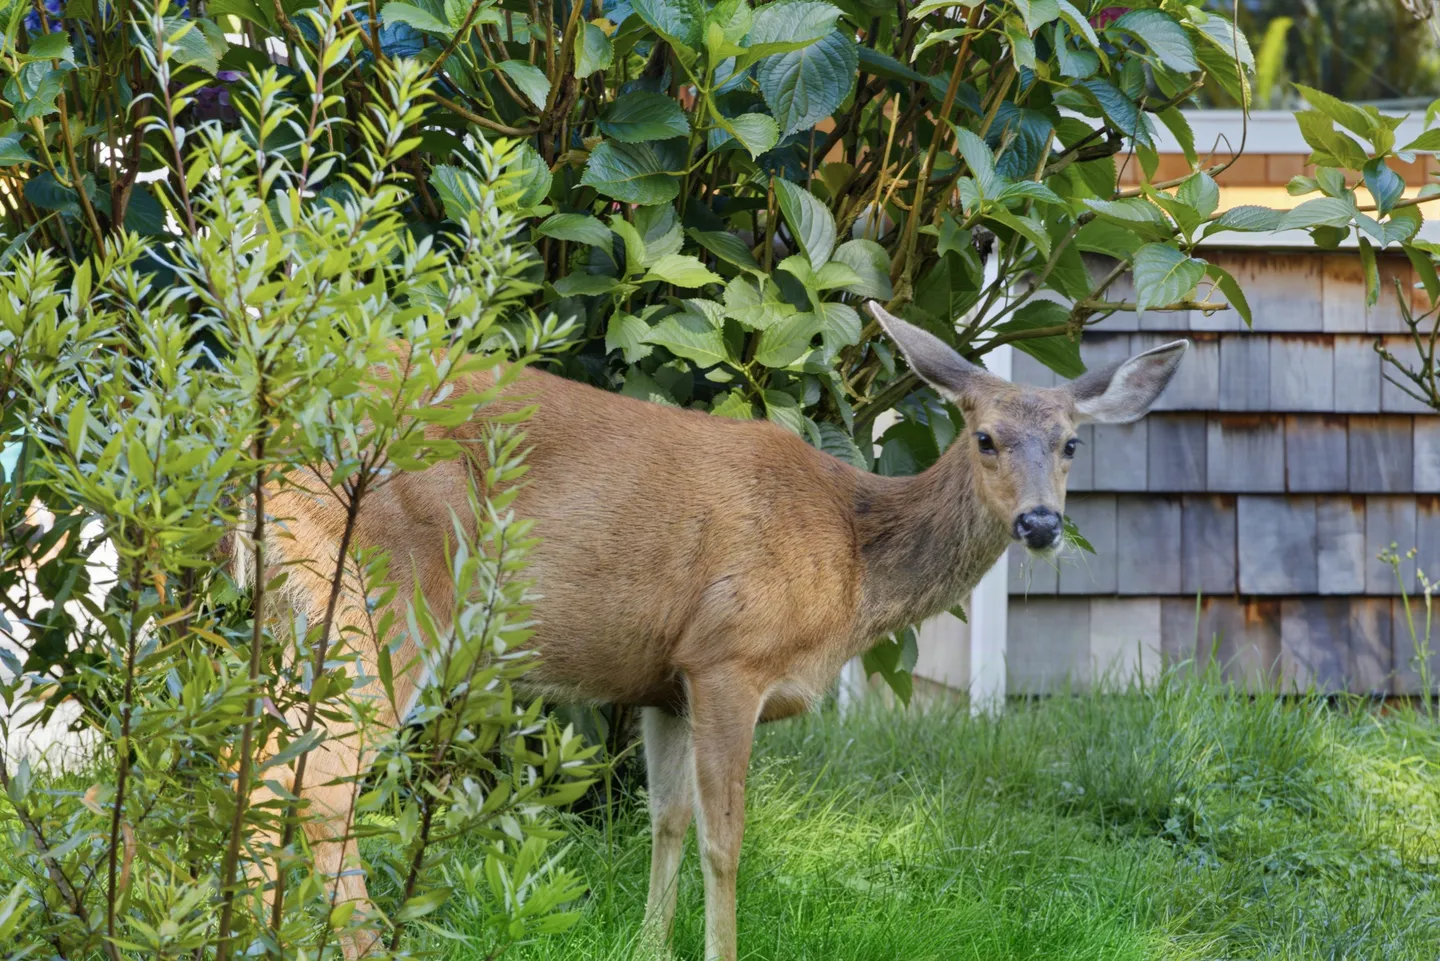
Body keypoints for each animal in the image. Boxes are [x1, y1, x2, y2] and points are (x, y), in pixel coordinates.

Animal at [258, 300, 1188, 960]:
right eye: (986, 437)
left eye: (1070, 445)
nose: (1040, 524)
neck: (851, 557)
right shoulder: (728, 655)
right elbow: (725, 840)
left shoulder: (662, 682)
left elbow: (666, 820)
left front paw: (646, 945)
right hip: (384, 597)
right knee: (325, 783)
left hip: (302, 607)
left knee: (267, 756)